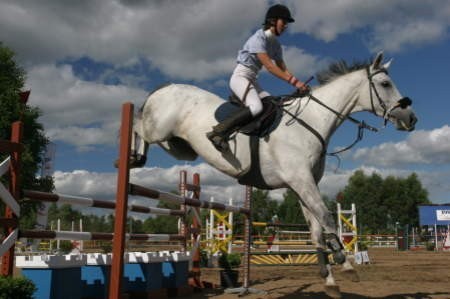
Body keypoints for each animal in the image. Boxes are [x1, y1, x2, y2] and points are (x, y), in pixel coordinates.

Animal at [128, 52, 416, 298]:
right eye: (385, 83)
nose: (411, 118)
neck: (312, 120)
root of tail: (164, 88)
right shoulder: (301, 180)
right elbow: (327, 218)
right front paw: (345, 264)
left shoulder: (302, 185)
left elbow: (316, 230)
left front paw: (329, 280)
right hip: (158, 129)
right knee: (137, 124)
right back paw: (132, 156)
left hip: (179, 148)